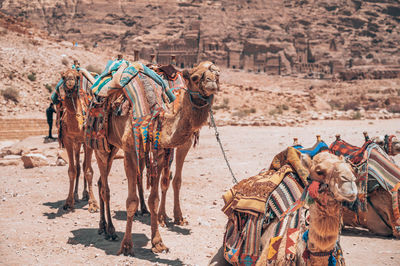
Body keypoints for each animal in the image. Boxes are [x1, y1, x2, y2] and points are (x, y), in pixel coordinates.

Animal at [53, 65, 99, 213]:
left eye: (77, 77)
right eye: (63, 76)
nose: (70, 81)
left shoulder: (87, 141)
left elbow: (89, 170)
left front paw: (93, 204)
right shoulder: (68, 141)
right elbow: (72, 170)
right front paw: (68, 202)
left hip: (84, 142)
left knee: (84, 166)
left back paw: (85, 194)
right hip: (77, 144)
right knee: (79, 167)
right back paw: (77, 195)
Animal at [92, 60, 220, 256]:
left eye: (218, 75)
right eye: (195, 77)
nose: (212, 83)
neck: (154, 119)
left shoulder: (164, 151)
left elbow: (161, 192)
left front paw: (159, 240)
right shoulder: (130, 151)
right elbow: (131, 201)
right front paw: (127, 245)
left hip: (115, 146)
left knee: (102, 182)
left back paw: (108, 226)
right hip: (101, 144)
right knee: (105, 187)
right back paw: (109, 230)